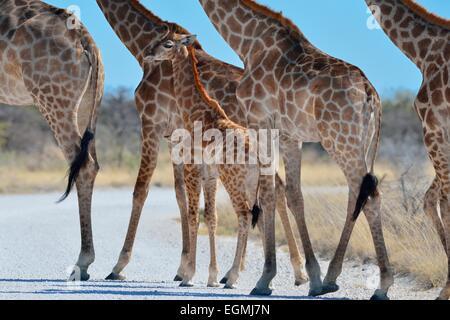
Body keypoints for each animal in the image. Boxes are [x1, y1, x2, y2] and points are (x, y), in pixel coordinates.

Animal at [0, 0, 103, 280]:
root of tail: (86, 41)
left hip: (52, 98)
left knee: (84, 165)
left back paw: (82, 262)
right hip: (87, 104)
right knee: (92, 162)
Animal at [97, 0, 310, 288]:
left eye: (165, 44)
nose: (151, 54)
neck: (138, 45)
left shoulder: (151, 123)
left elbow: (142, 190)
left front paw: (119, 265)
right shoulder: (174, 139)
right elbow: (182, 197)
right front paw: (185, 267)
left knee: (266, 197)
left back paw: (279, 272)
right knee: (272, 191)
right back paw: (284, 272)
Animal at [200, 0, 394, 300]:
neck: (249, 44)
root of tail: (370, 93)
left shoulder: (261, 123)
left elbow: (268, 194)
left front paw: (264, 279)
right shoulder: (291, 135)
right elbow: (293, 195)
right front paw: (311, 277)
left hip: (339, 139)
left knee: (370, 196)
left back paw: (382, 284)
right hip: (358, 142)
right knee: (358, 194)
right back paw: (331, 277)